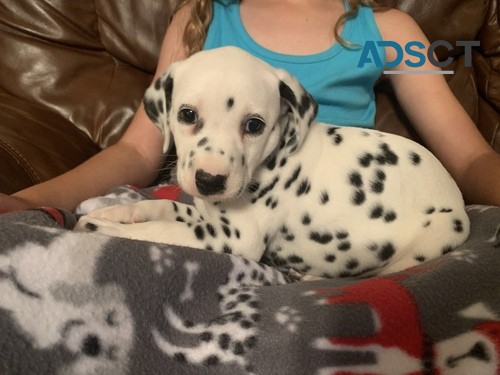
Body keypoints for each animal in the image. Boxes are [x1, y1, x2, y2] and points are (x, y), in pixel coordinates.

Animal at [76, 45, 470, 278]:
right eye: (187, 114)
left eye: (254, 125)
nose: (210, 180)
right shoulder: (206, 217)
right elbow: (162, 210)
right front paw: (118, 212)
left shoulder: (231, 239)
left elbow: (157, 233)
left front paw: (102, 228)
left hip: (435, 237)